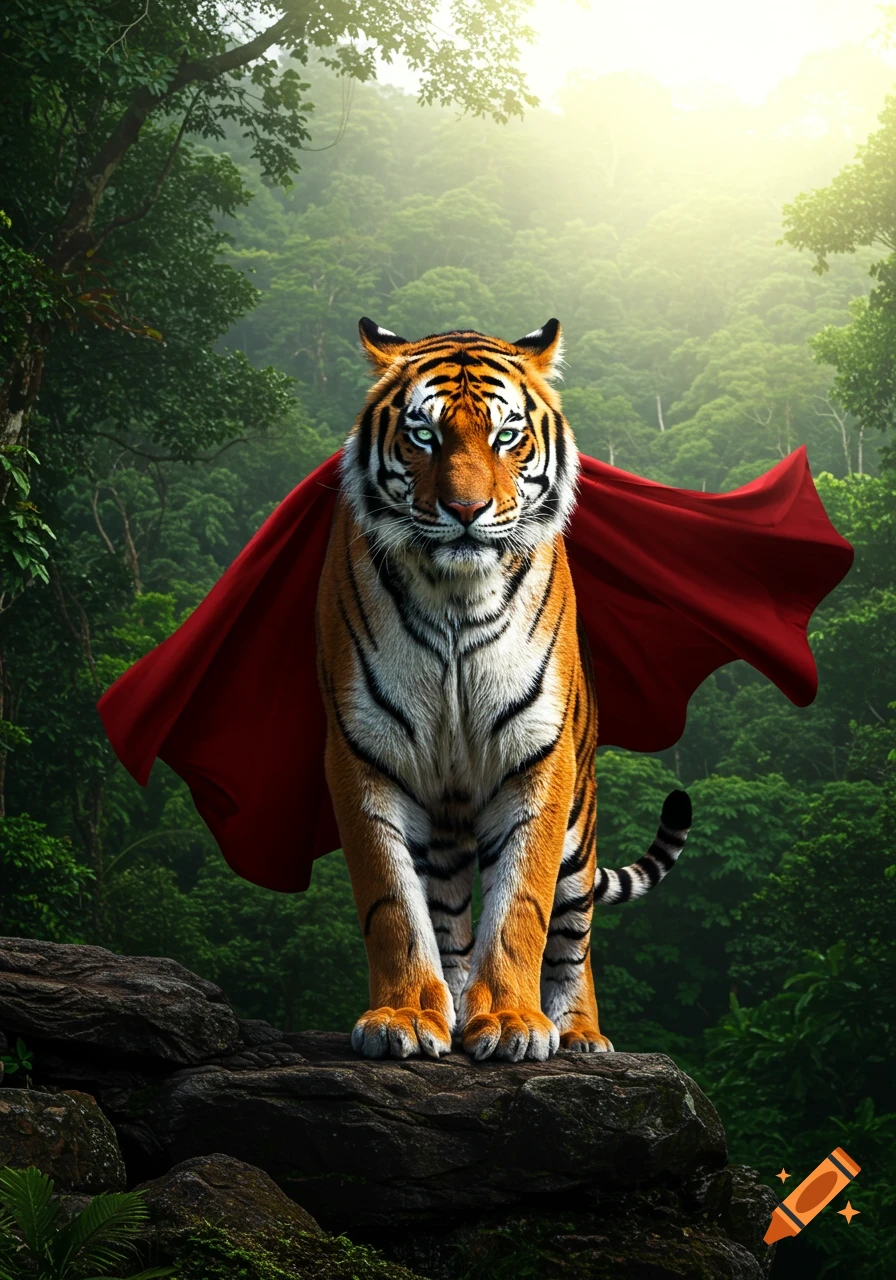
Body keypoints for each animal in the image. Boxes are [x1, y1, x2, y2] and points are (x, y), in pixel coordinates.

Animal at [316, 317, 692, 1063]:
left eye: (506, 435)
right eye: (424, 435)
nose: (465, 509)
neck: (454, 595)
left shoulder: (537, 757)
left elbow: (522, 907)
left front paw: (515, 1022)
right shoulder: (363, 755)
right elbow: (392, 903)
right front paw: (404, 1018)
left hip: (579, 820)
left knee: (573, 933)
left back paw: (579, 1034)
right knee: (449, 916)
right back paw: (453, 1009)